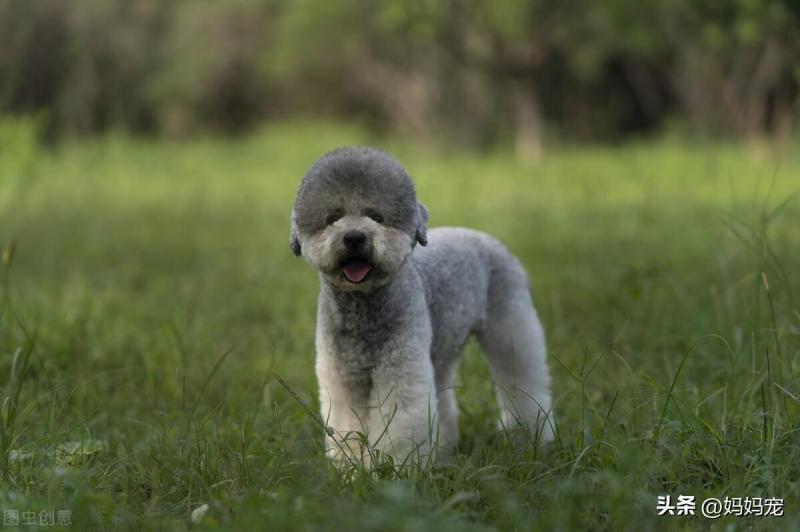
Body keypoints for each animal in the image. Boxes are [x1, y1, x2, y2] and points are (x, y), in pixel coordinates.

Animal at [290, 147, 556, 466]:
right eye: (333, 218)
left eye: (376, 216)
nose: (354, 237)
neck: (364, 308)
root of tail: (489, 239)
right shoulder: (342, 378)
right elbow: (347, 426)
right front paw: (351, 471)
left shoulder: (400, 370)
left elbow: (399, 423)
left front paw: (394, 470)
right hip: (442, 349)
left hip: (512, 325)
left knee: (524, 382)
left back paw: (531, 440)